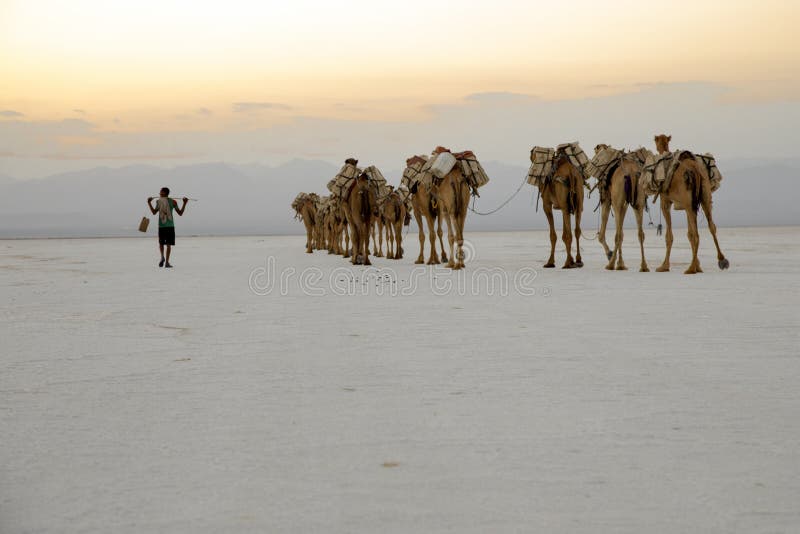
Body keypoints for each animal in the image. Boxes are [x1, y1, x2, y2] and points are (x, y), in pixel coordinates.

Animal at [592, 144, 648, 272]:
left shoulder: (608, 200)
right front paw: (621, 263)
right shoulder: (625, 204)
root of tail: (632, 173)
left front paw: (613, 257)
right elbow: (622, 232)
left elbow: (603, 233)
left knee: (617, 234)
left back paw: (610, 264)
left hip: (617, 200)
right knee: (640, 233)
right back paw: (644, 266)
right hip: (639, 201)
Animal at [652, 134, 728, 276]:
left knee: (697, 233)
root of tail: (695, 170)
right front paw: (699, 265)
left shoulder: (666, 201)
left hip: (688, 201)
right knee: (711, 226)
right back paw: (722, 261)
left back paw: (690, 268)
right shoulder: (689, 205)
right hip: (704, 195)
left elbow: (669, 235)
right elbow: (689, 234)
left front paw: (664, 266)